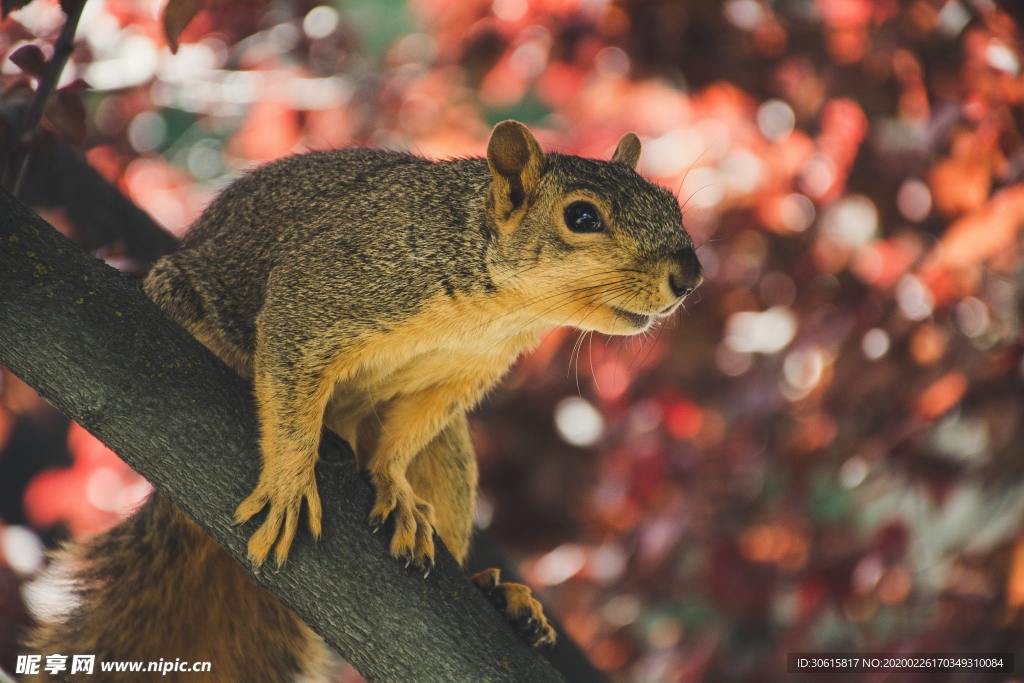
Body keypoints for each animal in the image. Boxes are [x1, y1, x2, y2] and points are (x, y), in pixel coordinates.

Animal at [24, 120, 700, 679]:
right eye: (582, 217)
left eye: (672, 204)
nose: (690, 277)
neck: (498, 312)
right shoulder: (326, 287)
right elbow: (289, 365)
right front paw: (291, 480)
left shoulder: (457, 378)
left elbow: (401, 439)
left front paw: (394, 489)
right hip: (184, 296)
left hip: (450, 462)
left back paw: (498, 594)